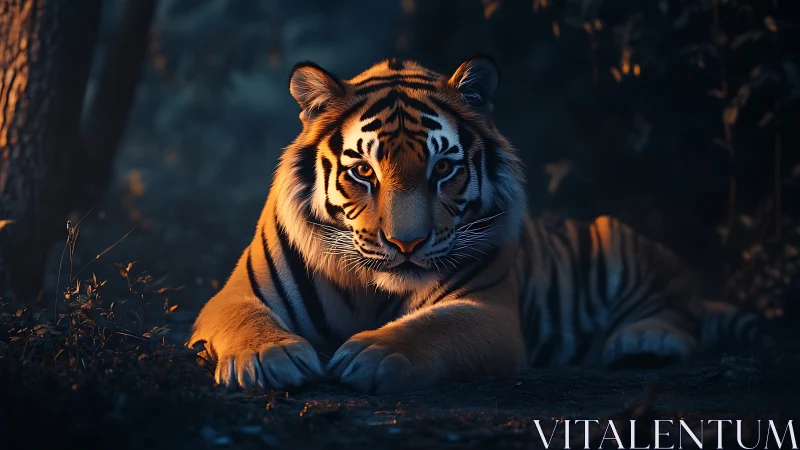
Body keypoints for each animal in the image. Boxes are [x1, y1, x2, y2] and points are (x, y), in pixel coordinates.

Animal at [189, 56, 767, 394]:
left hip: (624, 243)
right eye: (363, 172)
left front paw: (375, 353)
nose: (406, 243)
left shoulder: (488, 308)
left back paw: (643, 340)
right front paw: (270, 358)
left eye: (442, 169)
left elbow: (435, 327)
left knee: (680, 311)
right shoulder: (236, 293)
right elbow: (244, 320)